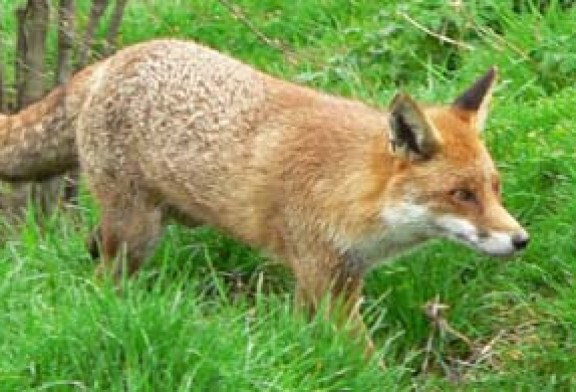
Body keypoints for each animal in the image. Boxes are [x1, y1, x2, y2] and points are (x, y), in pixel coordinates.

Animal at [0, 39, 528, 346]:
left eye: (494, 189)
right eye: (461, 194)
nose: (521, 240)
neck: (351, 191)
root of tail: (112, 59)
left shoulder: (328, 279)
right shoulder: (325, 277)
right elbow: (364, 362)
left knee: (91, 247)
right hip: (137, 234)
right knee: (104, 279)